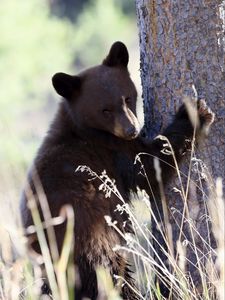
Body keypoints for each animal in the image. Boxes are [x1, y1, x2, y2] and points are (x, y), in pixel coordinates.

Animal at [20, 42, 214, 300]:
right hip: (92, 243)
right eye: (105, 110)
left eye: (128, 98)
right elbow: (149, 167)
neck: (83, 129)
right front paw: (195, 112)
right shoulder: (114, 152)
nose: (132, 129)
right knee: (113, 275)